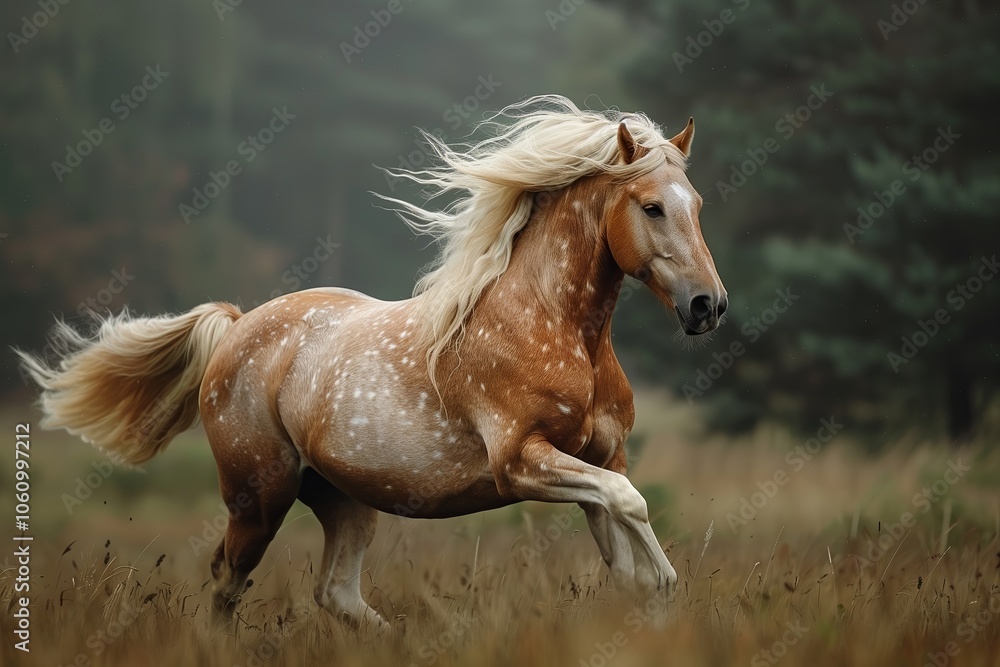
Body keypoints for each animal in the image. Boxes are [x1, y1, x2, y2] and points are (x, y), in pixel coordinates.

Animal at [18, 95, 727, 629]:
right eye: (651, 206)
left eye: (697, 204)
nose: (707, 305)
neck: (556, 330)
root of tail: (239, 328)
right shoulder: (522, 463)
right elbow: (633, 505)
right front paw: (669, 585)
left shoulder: (601, 458)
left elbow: (624, 542)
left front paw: (652, 601)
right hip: (259, 498)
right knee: (226, 581)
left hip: (343, 498)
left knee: (337, 595)